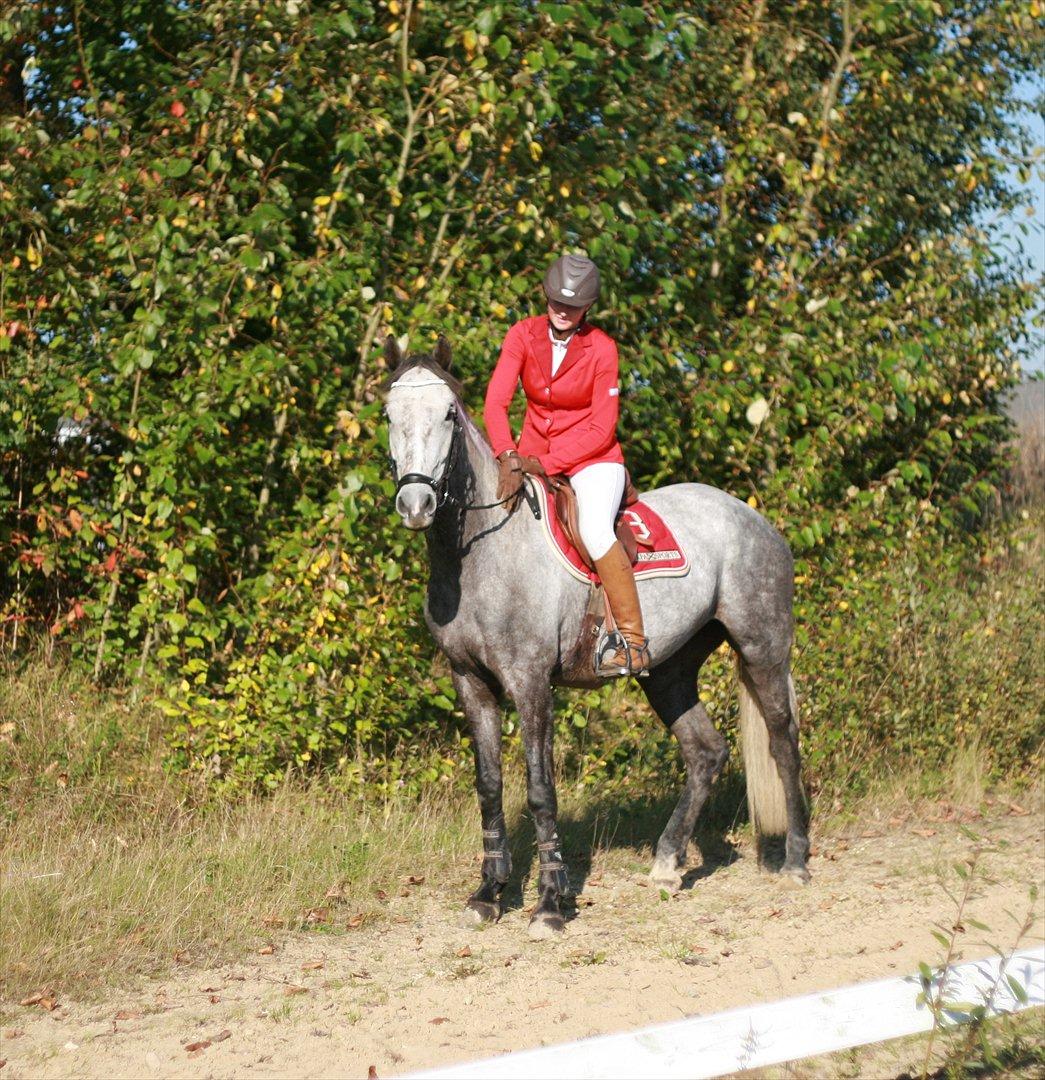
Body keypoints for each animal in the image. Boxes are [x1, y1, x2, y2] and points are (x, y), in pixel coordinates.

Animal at [382, 334, 807, 937]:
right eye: (389, 414)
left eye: (447, 413)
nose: (415, 505)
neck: (483, 552)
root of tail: (755, 519)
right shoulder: (472, 683)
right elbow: (489, 786)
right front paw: (489, 893)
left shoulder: (530, 682)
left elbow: (541, 791)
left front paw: (550, 905)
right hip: (668, 671)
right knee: (705, 752)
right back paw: (667, 864)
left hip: (762, 649)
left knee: (782, 741)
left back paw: (795, 862)